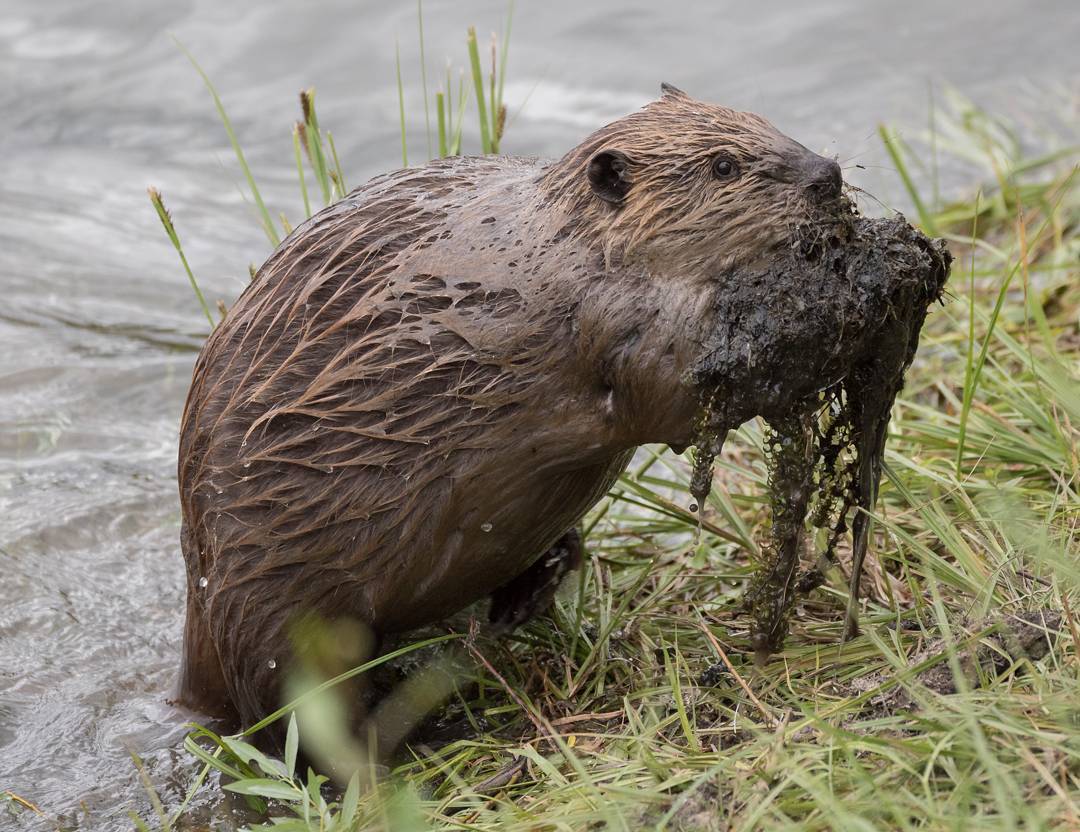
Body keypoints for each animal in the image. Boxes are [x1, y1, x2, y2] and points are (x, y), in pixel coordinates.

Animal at [172, 84, 933, 730]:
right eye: (724, 165)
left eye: (766, 122)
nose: (825, 175)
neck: (556, 245)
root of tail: (192, 663)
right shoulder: (597, 314)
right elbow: (667, 391)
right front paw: (841, 305)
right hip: (274, 605)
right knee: (295, 712)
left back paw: (539, 579)